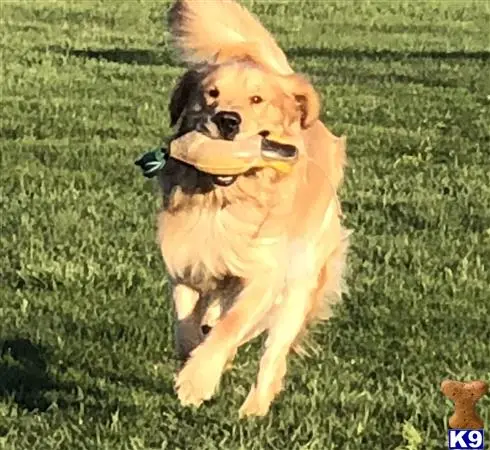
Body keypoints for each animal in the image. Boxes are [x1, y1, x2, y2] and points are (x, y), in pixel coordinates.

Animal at [156, 0, 348, 418]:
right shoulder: (185, 261)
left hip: (299, 283)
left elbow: (233, 325)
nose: (228, 120)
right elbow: (185, 326)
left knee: (272, 355)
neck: (224, 201)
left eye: (257, 101)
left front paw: (197, 381)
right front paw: (194, 358)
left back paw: (253, 411)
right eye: (210, 94)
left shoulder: (263, 274)